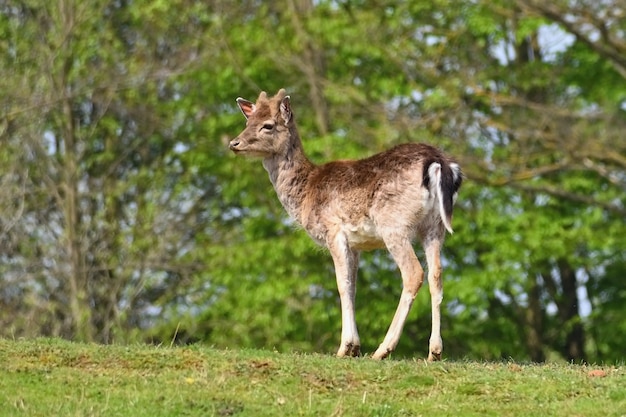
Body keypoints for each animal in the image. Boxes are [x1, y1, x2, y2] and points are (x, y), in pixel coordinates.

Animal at [228, 89, 458, 360]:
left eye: (268, 125)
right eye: (247, 122)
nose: (234, 143)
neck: (306, 193)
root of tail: (438, 163)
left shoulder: (333, 230)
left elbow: (342, 284)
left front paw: (345, 347)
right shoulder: (356, 244)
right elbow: (353, 287)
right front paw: (355, 347)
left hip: (394, 224)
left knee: (414, 273)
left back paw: (383, 349)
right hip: (434, 226)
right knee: (437, 275)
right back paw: (434, 351)